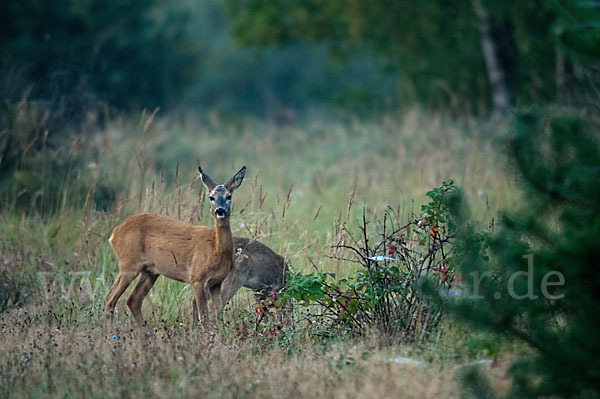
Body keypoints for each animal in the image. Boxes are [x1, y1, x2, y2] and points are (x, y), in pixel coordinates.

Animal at [105, 164, 246, 330]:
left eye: (229, 196)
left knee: (133, 300)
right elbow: (204, 317)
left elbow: (219, 316)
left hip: (150, 271)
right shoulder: (197, 278)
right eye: (211, 197)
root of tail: (114, 233)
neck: (216, 249)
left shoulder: (216, 282)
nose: (220, 210)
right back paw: (111, 335)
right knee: (110, 299)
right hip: (128, 264)